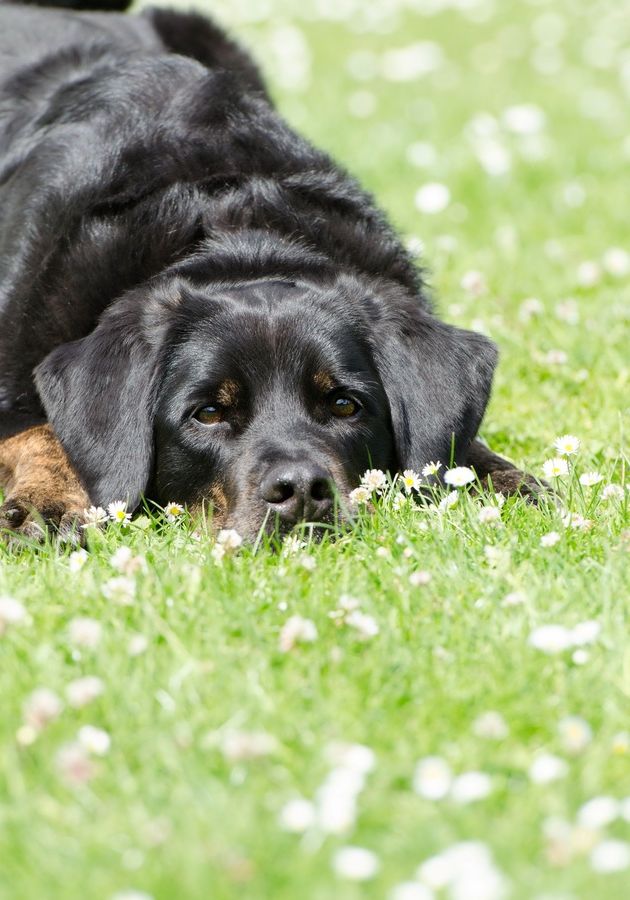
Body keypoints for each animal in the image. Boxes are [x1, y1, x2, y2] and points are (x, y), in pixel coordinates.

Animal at [1, 0, 544, 540]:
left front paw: (510, 484)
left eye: (344, 404)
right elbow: (45, 433)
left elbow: (457, 444)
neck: (239, 234)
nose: (301, 489)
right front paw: (46, 503)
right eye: (208, 413)